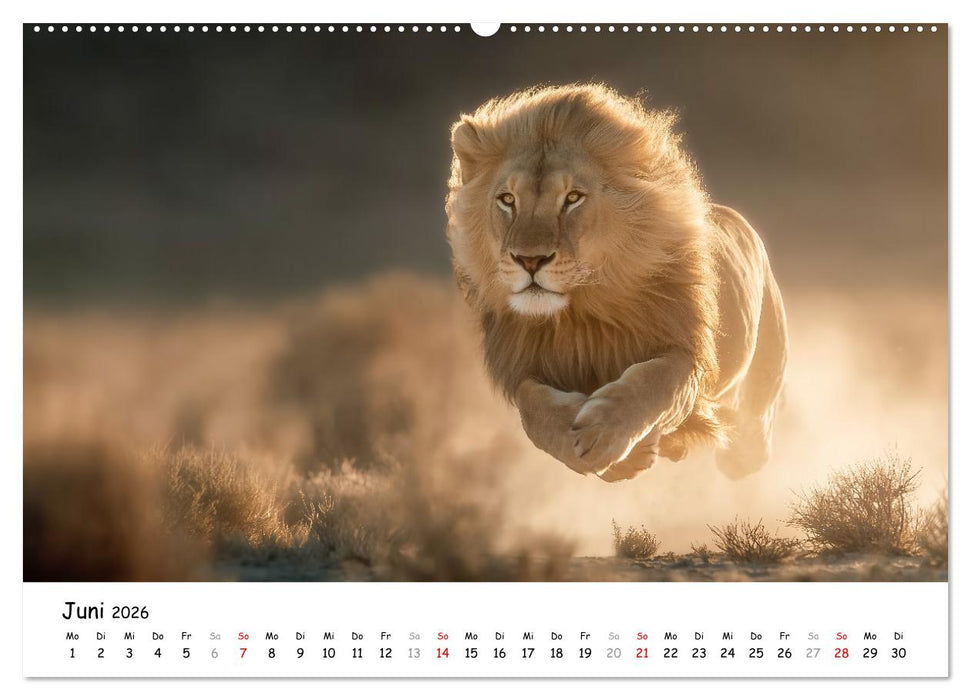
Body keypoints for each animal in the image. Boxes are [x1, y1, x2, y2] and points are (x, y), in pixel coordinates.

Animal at [445, 84, 788, 482]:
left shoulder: (688, 354)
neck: (579, 313)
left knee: (746, 452)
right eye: (507, 200)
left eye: (573, 198)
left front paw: (604, 433)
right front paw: (603, 454)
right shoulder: (523, 366)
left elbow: (656, 383)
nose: (529, 260)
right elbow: (535, 413)